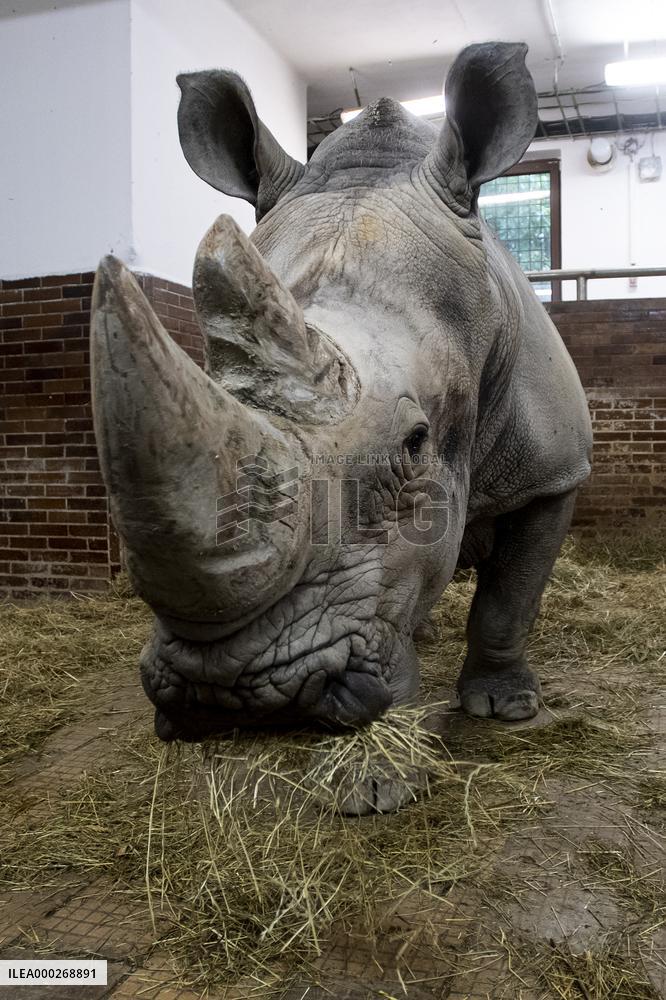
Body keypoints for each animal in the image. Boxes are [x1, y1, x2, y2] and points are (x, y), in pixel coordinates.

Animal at [91, 42, 591, 797]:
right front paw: (383, 775)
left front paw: (504, 707)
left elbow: (513, 595)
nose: (234, 692)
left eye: (415, 444)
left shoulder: (554, 470)